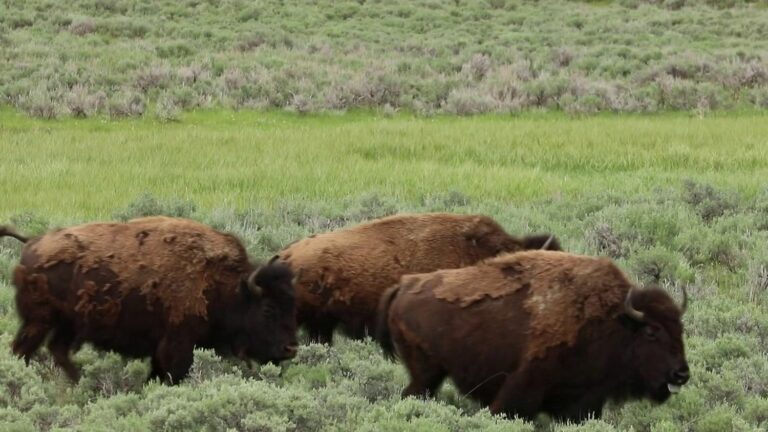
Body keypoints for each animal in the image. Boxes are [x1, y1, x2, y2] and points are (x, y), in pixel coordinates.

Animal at [1, 218, 298, 384]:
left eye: (292, 307)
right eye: (268, 309)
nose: (291, 348)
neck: (226, 285)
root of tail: (32, 243)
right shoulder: (177, 344)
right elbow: (172, 373)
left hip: (68, 324)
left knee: (57, 350)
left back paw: (81, 384)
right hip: (39, 321)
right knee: (22, 350)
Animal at [378, 250, 688, 422]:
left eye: (680, 330)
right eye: (652, 332)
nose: (681, 374)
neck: (615, 321)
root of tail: (404, 285)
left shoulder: (584, 402)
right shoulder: (520, 391)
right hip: (426, 374)